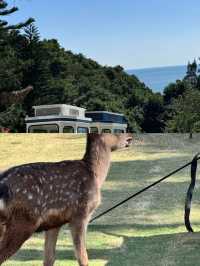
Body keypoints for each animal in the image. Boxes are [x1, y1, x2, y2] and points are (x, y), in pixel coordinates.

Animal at [0, 134, 133, 264]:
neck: (94, 174)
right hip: (24, 221)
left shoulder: (54, 223)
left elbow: (49, 258)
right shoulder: (80, 215)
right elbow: (82, 256)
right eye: (116, 131)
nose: (130, 137)